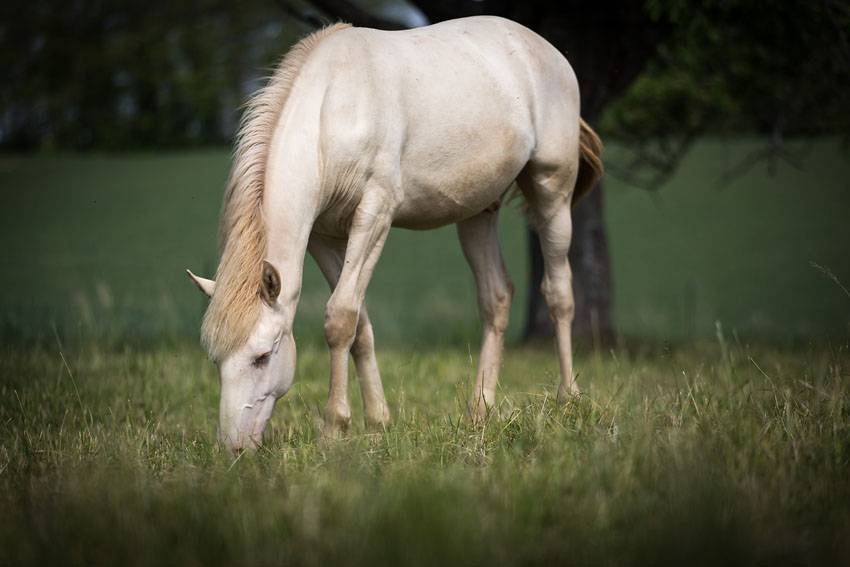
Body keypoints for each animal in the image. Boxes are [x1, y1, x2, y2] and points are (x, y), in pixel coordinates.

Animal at [186, 16, 603, 453]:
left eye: (263, 356)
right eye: (216, 359)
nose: (233, 448)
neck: (334, 108)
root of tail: (544, 50)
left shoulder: (375, 214)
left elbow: (340, 317)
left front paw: (334, 428)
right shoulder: (324, 238)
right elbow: (359, 325)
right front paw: (377, 422)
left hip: (552, 192)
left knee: (559, 292)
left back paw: (568, 399)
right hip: (477, 211)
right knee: (496, 297)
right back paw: (480, 411)